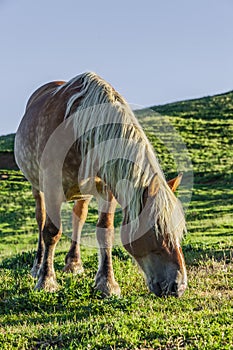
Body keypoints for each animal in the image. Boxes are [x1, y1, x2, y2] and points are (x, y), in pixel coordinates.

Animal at [15, 72, 187, 296]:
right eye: (156, 231)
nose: (178, 286)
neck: (79, 129)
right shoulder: (52, 186)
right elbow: (51, 231)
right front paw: (46, 281)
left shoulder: (107, 190)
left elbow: (104, 231)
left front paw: (107, 283)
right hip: (38, 187)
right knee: (41, 218)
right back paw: (37, 267)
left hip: (83, 193)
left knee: (79, 218)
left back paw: (74, 263)